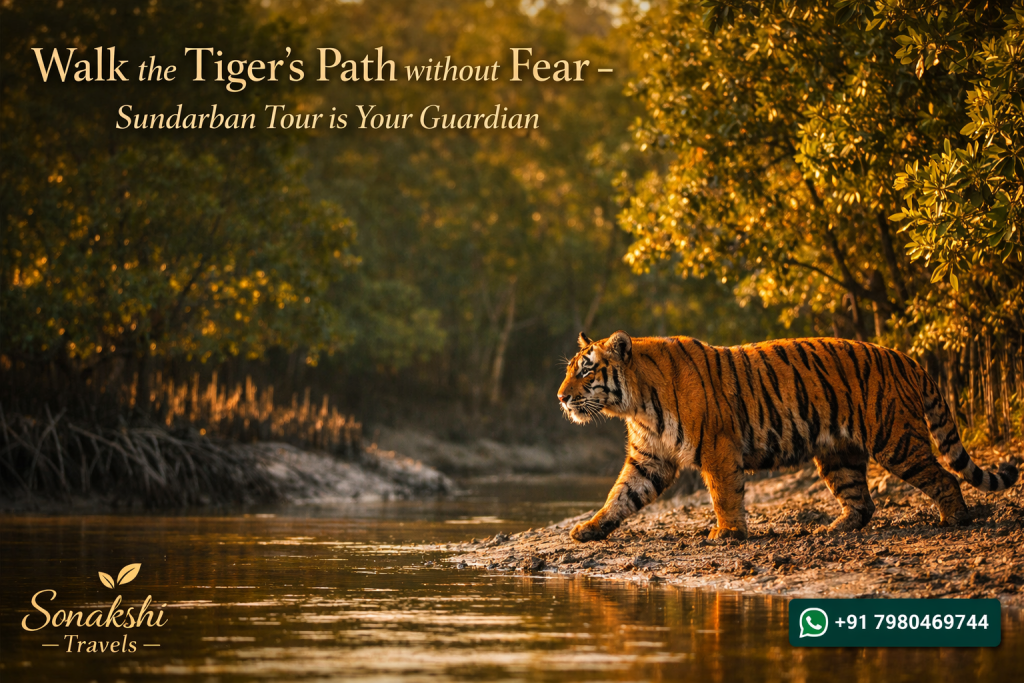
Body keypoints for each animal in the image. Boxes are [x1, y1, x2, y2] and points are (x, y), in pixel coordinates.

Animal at [557, 331, 1018, 542]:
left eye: (586, 370)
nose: (561, 397)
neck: (635, 405)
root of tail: (905, 357)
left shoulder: (718, 448)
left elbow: (724, 494)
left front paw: (727, 534)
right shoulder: (649, 458)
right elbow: (620, 495)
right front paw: (589, 529)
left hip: (897, 439)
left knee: (945, 477)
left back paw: (955, 520)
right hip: (838, 454)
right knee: (862, 501)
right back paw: (835, 528)